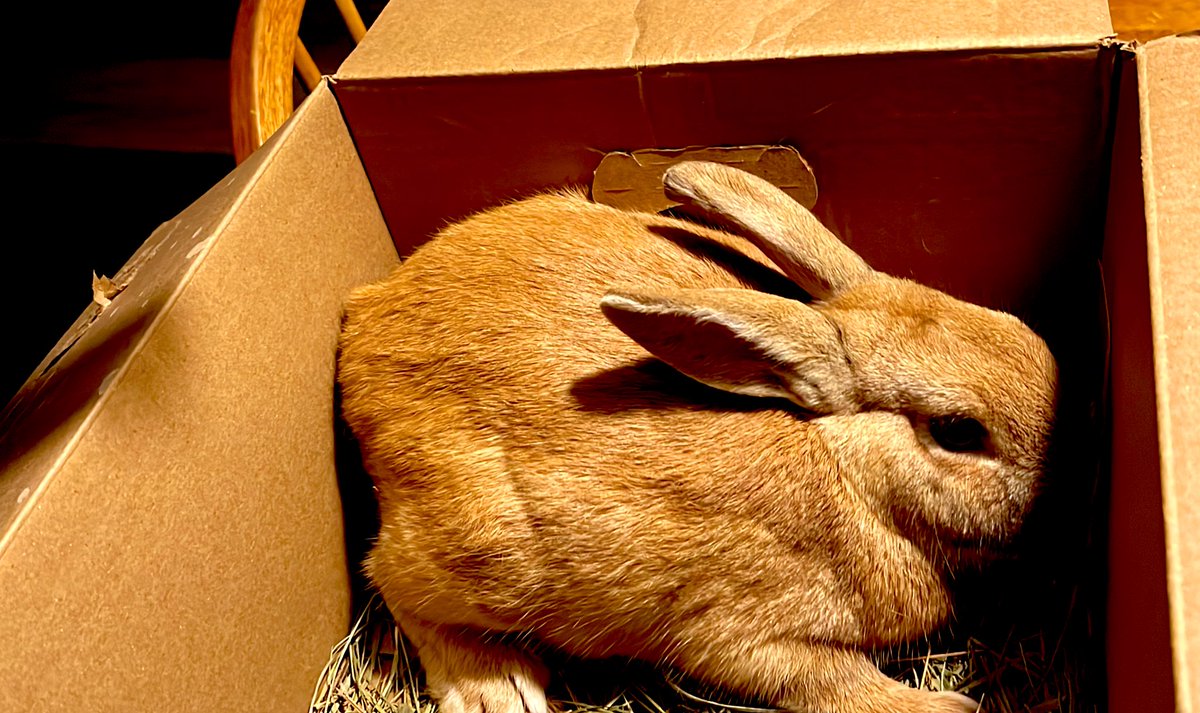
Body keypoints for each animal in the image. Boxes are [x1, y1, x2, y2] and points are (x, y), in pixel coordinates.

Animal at [336, 161, 1058, 713]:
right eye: (958, 431)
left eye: (1020, 331)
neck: (849, 473)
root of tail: (362, 328)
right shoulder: (735, 633)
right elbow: (826, 681)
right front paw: (950, 706)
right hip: (480, 551)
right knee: (390, 582)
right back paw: (497, 689)